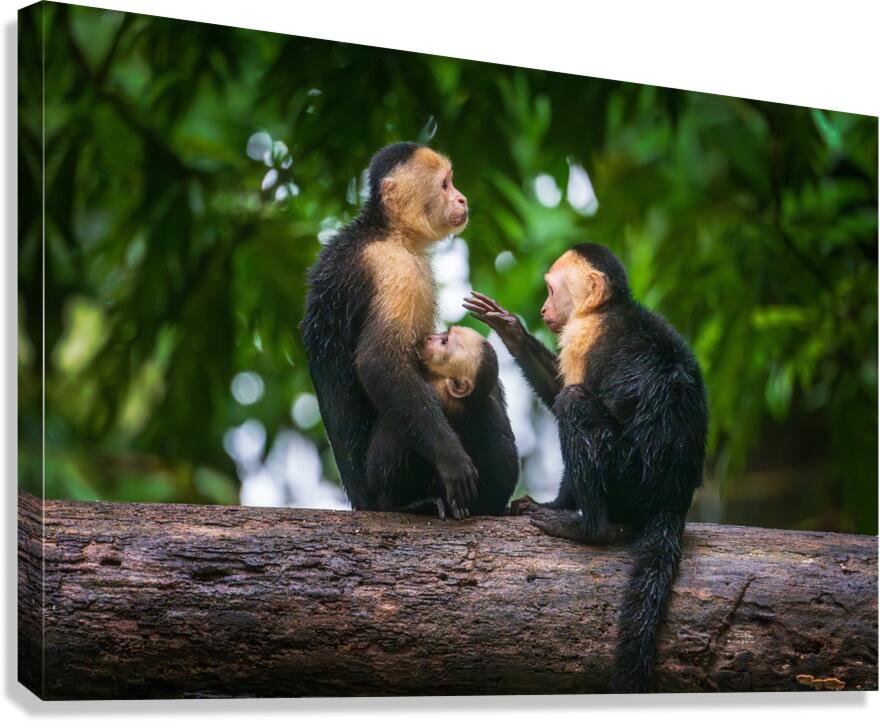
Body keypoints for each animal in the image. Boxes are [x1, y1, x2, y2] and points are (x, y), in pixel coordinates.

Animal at [302, 142, 478, 519]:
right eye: (445, 185)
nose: (462, 199)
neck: (387, 232)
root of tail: (360, 501)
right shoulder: (396, 272)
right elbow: (378, 363)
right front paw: (451, 459)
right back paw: (401, 503)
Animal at [365, 326, 519, 516]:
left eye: (444, 342)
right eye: (445, 333)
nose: (430, 337)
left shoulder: (437, 390)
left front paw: (451, 460)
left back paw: (395, 505)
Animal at [464, 243, 708, 693]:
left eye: (549, 290)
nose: (543, 309)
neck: (608, 308)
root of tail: (673, 496)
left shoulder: (583, 337)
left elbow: (568, 392)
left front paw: (557, 506)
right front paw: (511, 330)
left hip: (631, 478)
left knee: (575, 404)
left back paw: (587, 526)